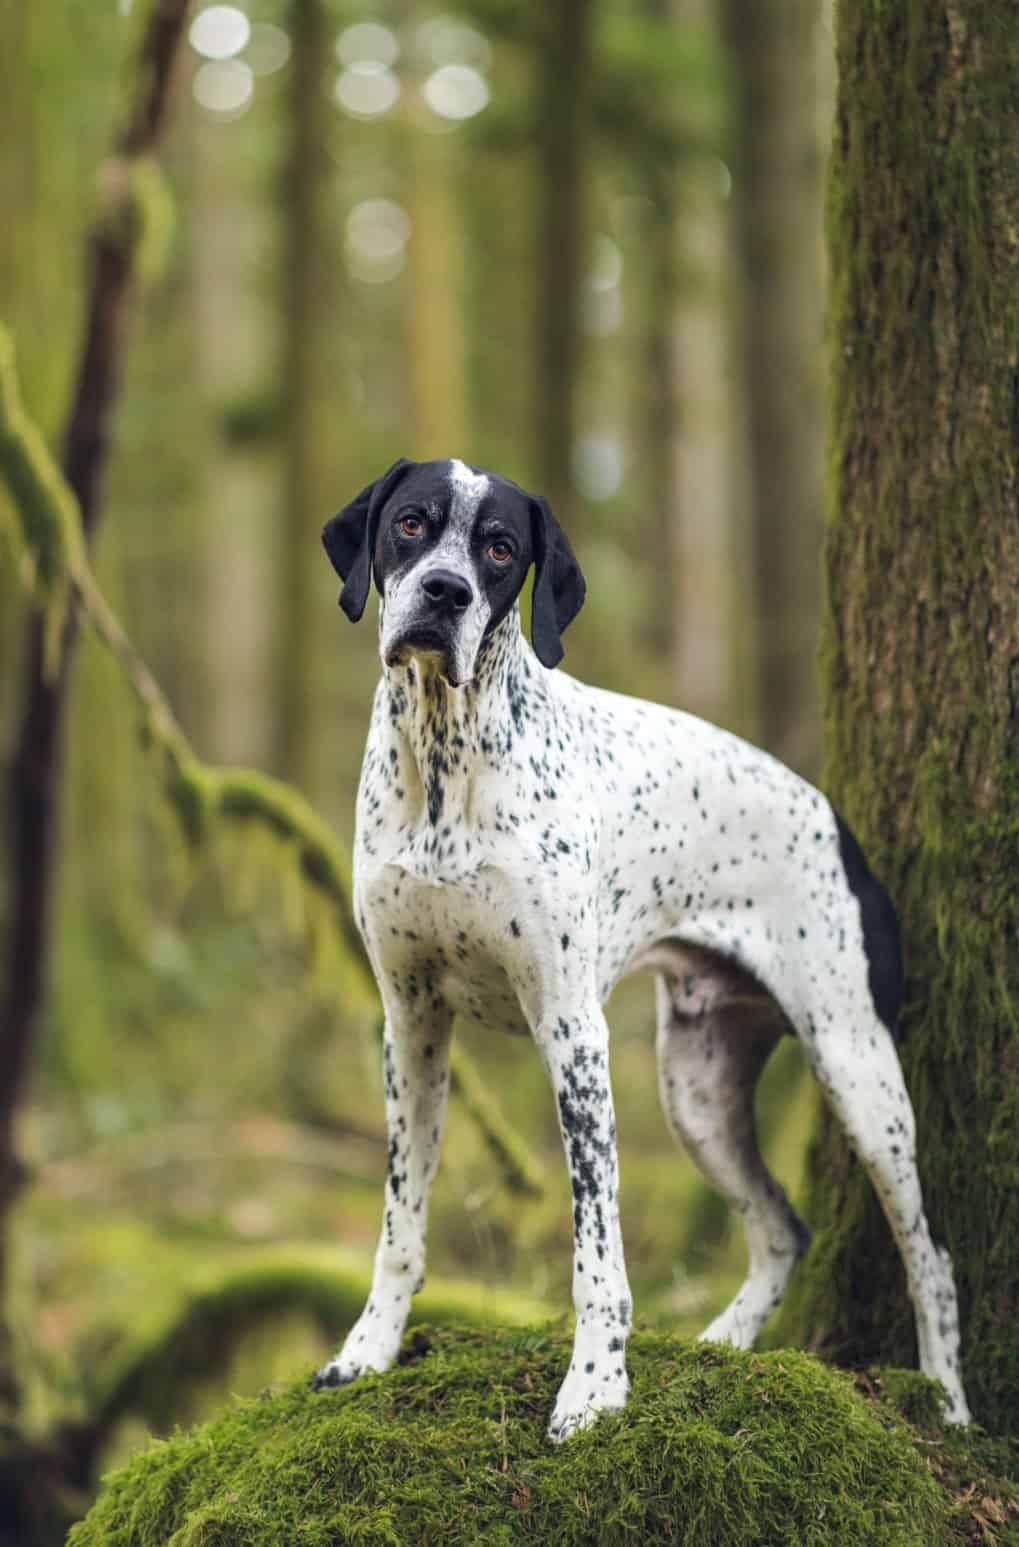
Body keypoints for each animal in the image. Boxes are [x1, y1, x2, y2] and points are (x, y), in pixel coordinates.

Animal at [310, 454, 971, 1435]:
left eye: (499, 548)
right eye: (411, 524)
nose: (444, 592)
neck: (446, 758)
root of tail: (839, 827)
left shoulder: (572, 1034)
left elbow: (597, 1253)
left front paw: (594, 1387)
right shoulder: (412, 1026)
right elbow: (399, 1226)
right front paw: (367, 1351)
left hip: (861, 1078)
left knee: (932, 1260)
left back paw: (950, 1405)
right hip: (697, 1090)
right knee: (782, 1230)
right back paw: (723, 1344)